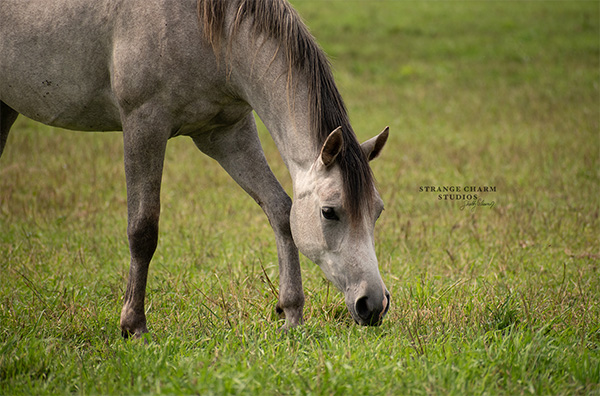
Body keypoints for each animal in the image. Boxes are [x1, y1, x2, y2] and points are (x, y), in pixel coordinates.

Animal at [0, 0, 392, 338]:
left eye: (377, 211)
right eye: (329, 212)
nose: (373, 304)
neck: (210, 32)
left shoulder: (227, 134)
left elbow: (280, 210)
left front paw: (291, 313)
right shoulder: (144, 124)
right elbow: (143, 229)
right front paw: (134, 325)